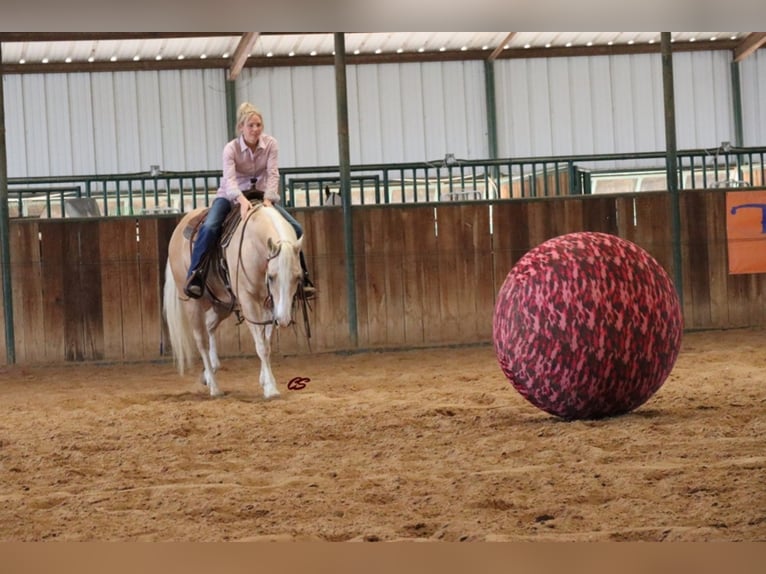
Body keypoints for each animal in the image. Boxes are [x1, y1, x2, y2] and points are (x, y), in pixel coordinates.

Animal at [164, 207, 304, 400]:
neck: (253, 244)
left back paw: (210, 373)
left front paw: (264, 380)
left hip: (222, 304)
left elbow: (266, 343)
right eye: (271, 277)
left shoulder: (269, 303)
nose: (283, 320)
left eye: (298, 277)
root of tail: (179, 229)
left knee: (210, 326)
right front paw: (270, 388)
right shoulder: (248, 301)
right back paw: (215, 388)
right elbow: (261, 346)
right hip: (193, 303)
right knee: (201, 341)